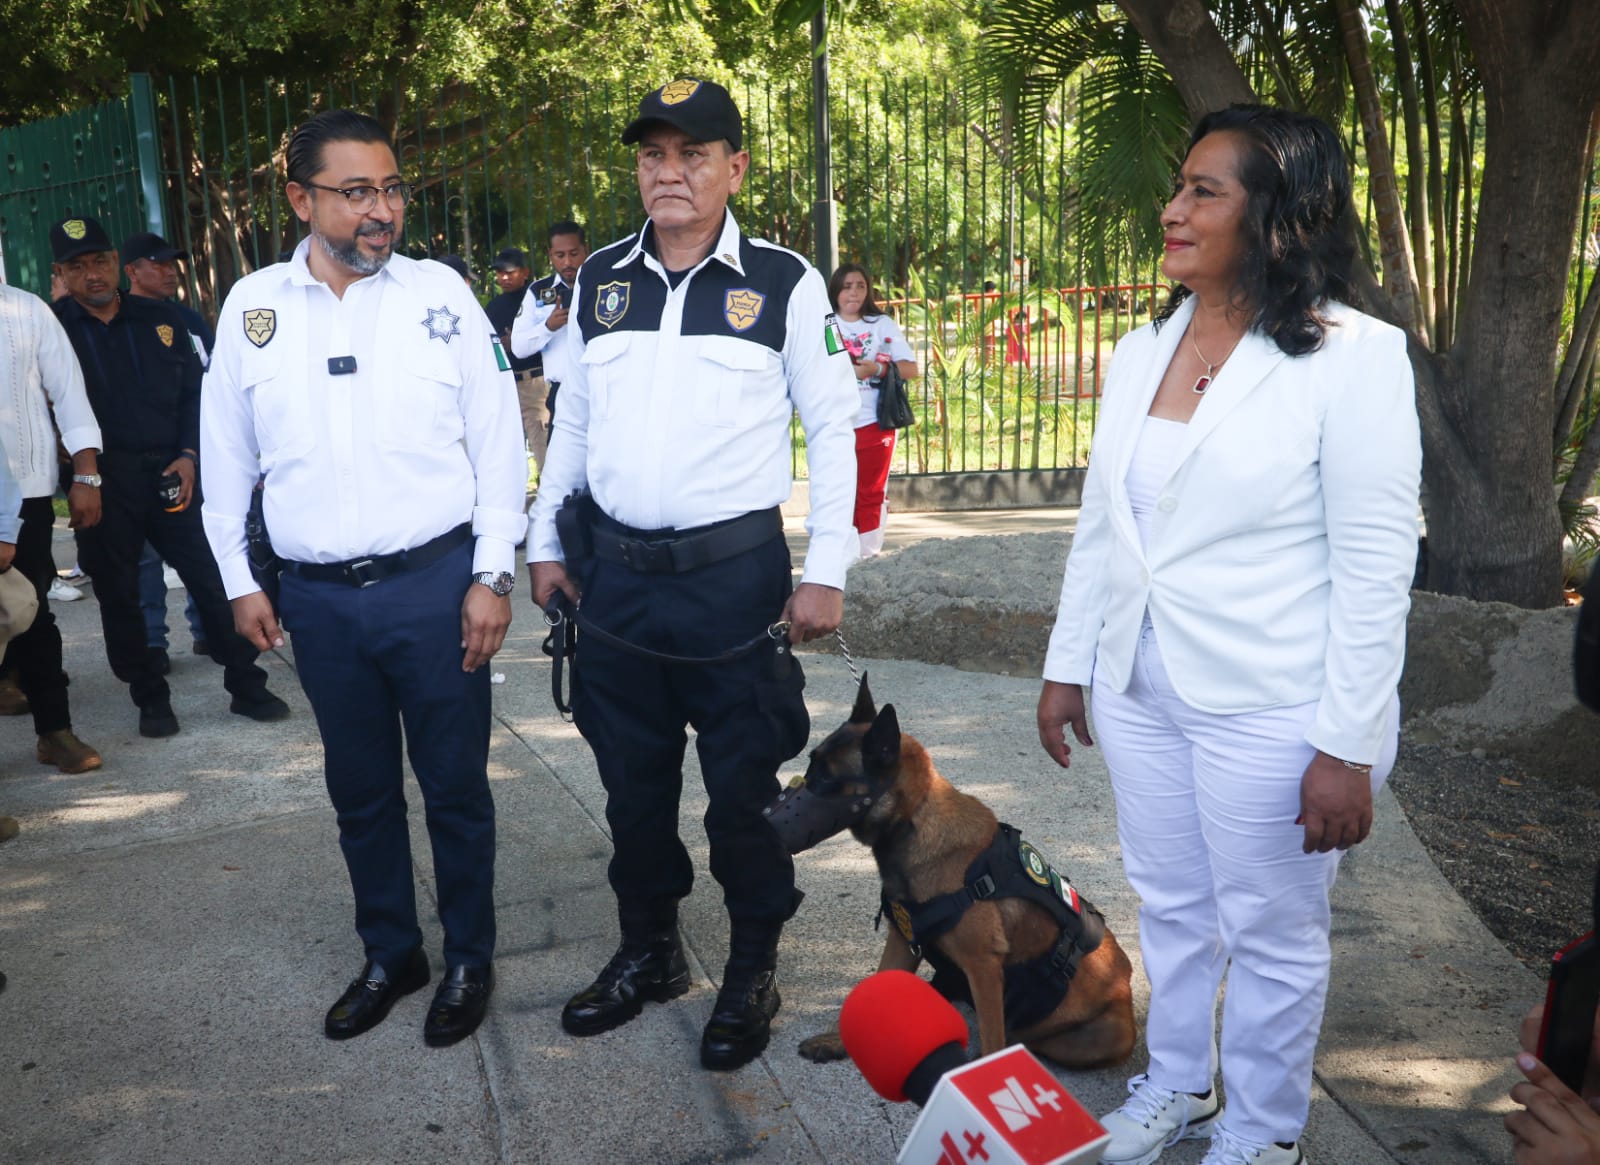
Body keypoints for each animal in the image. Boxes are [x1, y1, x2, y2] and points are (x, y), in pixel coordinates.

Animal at [777, 678, 1139, 1068]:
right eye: (811, 766)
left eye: (824, 777)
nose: (770, 814)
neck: (914, 820)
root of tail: (1127, 986)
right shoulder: (903, 940)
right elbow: (878, 985)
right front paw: (838, 1041)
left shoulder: (983, 967)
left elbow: (993, 1038)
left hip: (1106, 1037)